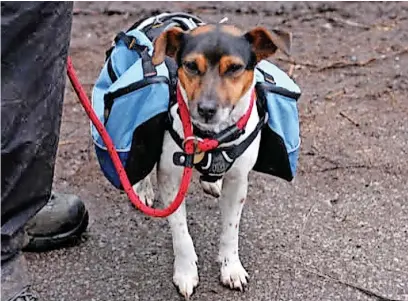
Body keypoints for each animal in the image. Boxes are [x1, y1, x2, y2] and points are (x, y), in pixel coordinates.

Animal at [133, 22, 290, 296]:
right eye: (191, 66)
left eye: (235, 68)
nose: (206, 109)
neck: (209, 137)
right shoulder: (171, 179)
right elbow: (181, 234)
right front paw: (186, 272)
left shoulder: (238, 182)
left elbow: (230, 231)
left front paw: (231, 268)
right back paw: (142, 189)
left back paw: (211, 181)